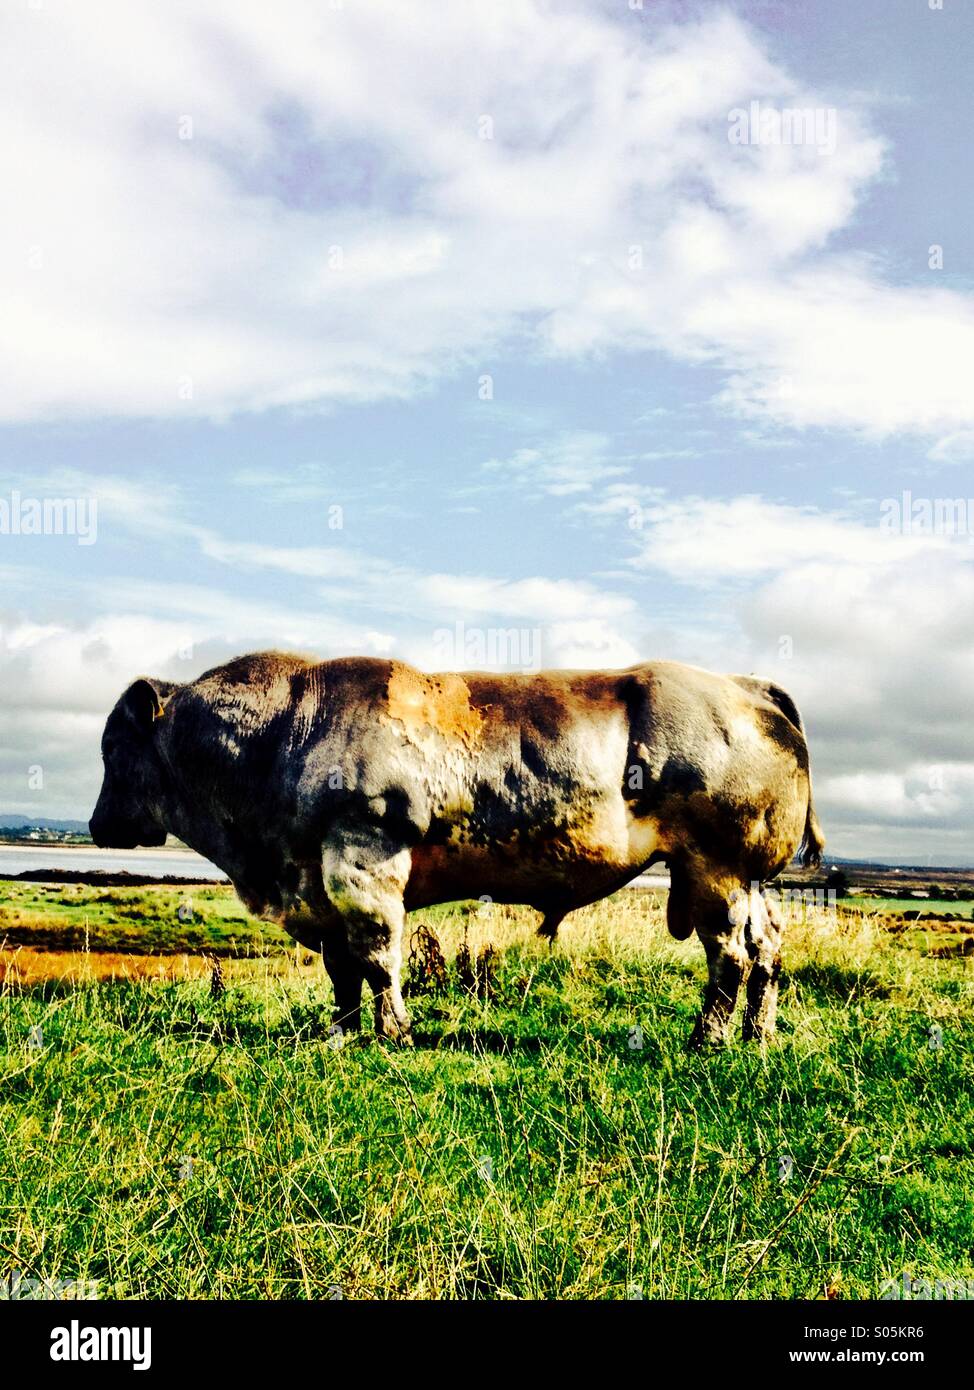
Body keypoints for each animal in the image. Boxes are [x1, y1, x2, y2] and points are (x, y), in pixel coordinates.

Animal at [90, 653, 824, 1048]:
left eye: (112, 747)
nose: (97, 825)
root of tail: (743, 684)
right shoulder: (319, 884)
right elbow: (341, 969)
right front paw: (341, 1033)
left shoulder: (364, 859)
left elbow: (377, 955)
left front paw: (394, 1032)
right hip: (749, 878)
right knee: (767, 949)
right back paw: (758, 1034)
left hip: (716, 867)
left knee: (730, 955)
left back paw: (709, 1038)